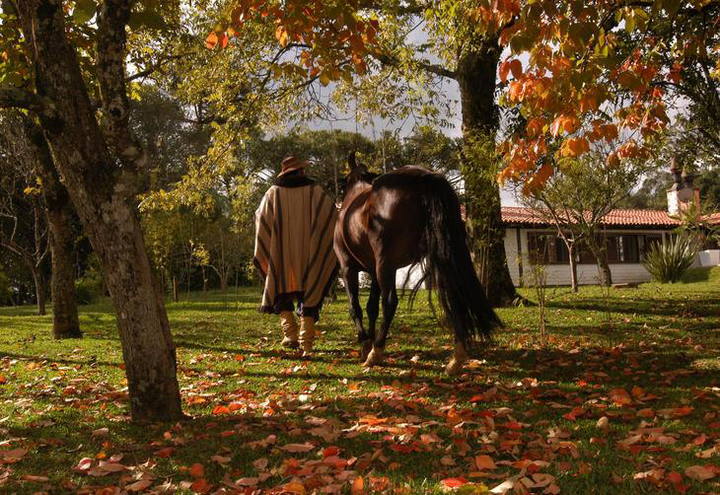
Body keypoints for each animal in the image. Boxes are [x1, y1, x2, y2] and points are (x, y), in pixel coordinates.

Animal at [334, 154, 498, 376]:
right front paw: (367, 341)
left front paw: (366, 344)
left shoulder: (348, 268)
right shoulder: (373, 271)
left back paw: (376, 353)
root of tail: (424, 177)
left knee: (390, 302)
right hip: (439, 255)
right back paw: (457, 358)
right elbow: (371, 308)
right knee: (455, 296)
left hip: (385, 264)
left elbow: (355, 307)